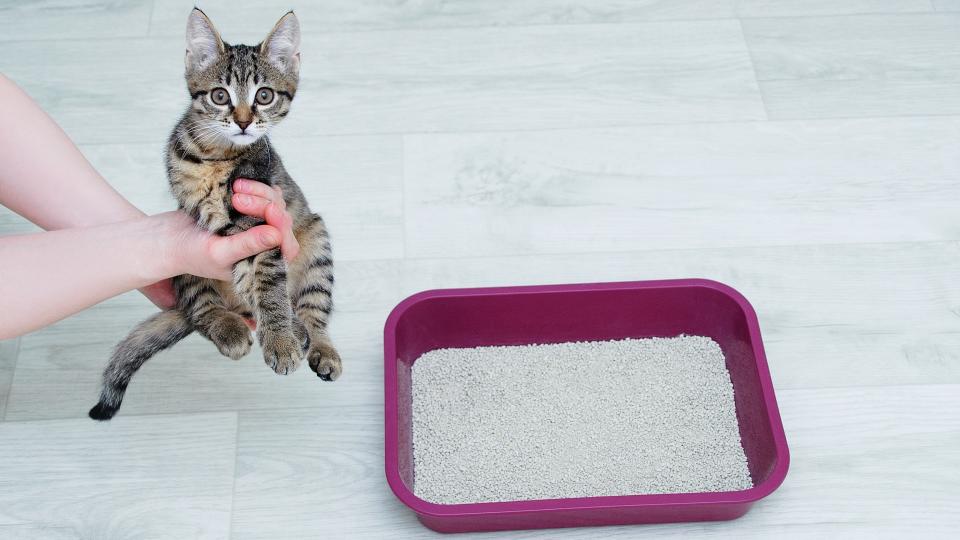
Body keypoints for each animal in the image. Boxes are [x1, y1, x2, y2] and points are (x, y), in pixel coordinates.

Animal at [87, 9, 342, 422]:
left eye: (264, 95)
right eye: (220, 96)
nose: (243, 121)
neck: (215, 156)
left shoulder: (261, 219)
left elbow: (268, 284)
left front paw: (282, 336)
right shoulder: (202, 216)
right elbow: (247, 276)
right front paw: (282, 335)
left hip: (316, 236)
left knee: (313, 307)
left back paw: (317, 343)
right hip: (182, 264)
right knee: (201, 308)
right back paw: (230, 327)